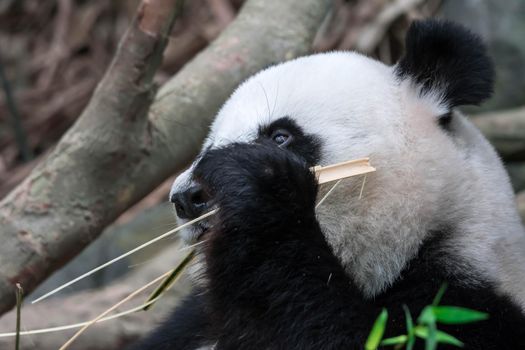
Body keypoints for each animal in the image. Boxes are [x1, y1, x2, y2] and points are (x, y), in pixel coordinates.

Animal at [132, 19, 525, 350]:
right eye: (208, 146)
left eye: (280, 136)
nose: (186, 198)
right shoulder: (194, 320)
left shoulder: (462, 308)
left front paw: (256, 188)